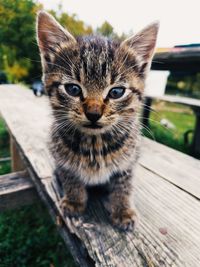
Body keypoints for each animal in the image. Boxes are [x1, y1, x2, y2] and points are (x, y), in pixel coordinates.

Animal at [36, 11, 158, 231]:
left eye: (116, 92)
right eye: (73, 89)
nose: (93, 113)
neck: (95, 144)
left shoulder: (128, 163)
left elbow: (123, 186)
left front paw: (123, 210)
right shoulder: (61, 158)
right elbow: (71, 177)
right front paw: (74, 200)